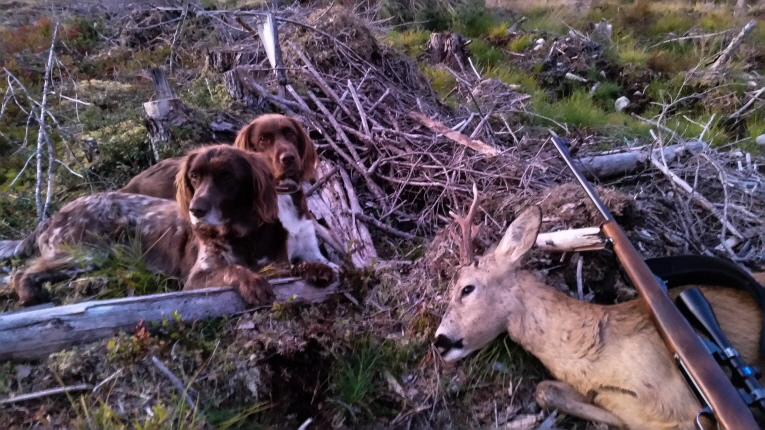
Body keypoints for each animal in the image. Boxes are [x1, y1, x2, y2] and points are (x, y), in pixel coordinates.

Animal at [11, 146, 286, 308]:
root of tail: (52, 217)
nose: (195, 210)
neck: (240, 235)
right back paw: (29, 294)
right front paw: (253, 282)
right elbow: (233, 269)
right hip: (88, 252)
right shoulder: (197, 277)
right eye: (194, 176)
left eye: (227, 177)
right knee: (21, 272)